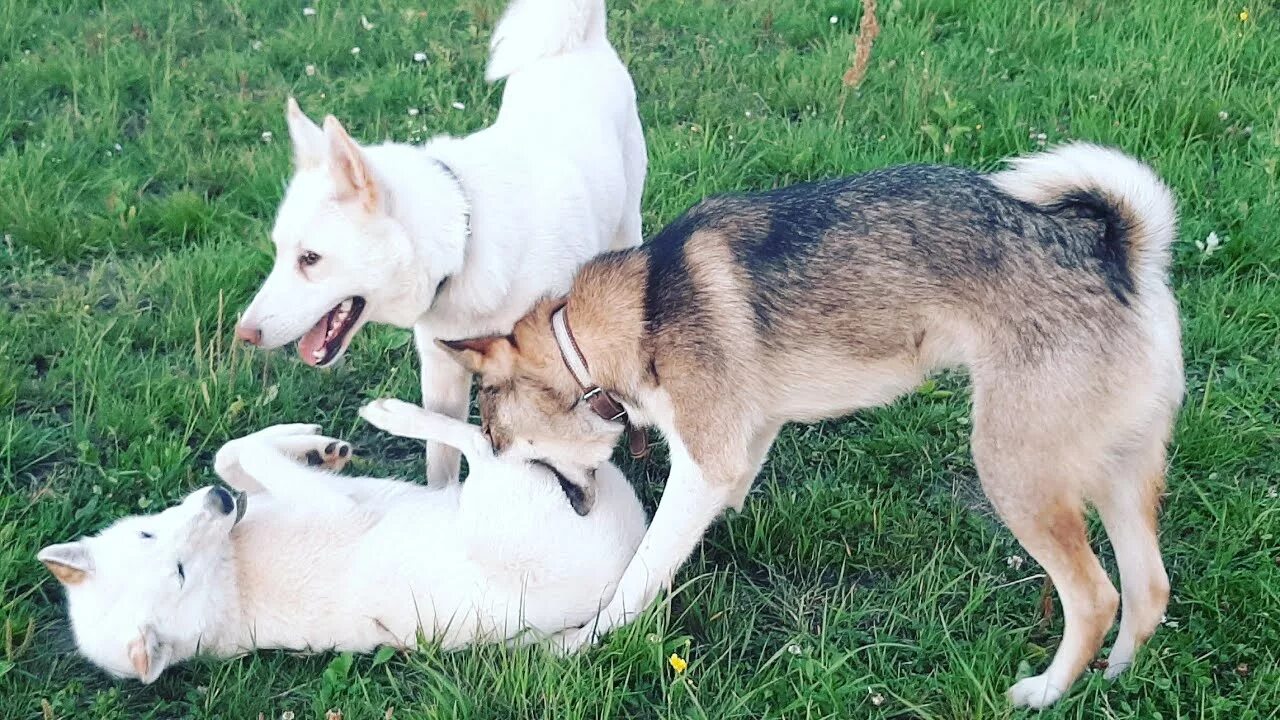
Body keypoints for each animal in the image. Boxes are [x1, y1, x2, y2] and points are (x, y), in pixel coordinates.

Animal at [35, 399, 645, 681]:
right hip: (497, 493)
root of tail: (628, 561)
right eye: (181, 572)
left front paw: (310, 444)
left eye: (150, 533)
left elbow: (232, 451)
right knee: (485, 442)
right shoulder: (334, 504)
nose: (219, 503)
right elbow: (248, 453)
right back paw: (396, 414)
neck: (230, 570)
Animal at [437, 142, 1177, 702]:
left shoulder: (702, 466)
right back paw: (1116, 679)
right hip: (1115, 477)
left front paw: (581, 643)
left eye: (498, 438)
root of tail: (1116, 253)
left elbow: (639, 573)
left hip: (1013, 471)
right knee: (1148, 591)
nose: (491, 468)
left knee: (1097, 597)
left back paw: (1045, 692)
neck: (618, 325)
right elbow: (711, 515)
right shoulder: (743, 444)